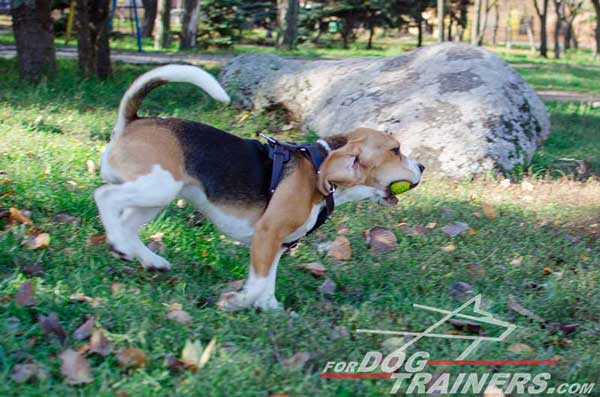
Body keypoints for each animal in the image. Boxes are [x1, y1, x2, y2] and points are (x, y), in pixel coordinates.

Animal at [96, 65, 424, 310]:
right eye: (396, 150)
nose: (422, 167)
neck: (318, 169)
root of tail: (132, 122)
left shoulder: (278, 244)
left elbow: (266, 284)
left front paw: (270, 308)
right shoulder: (268, 234)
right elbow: (256, 284)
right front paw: (237, 301)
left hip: (155, 197)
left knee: (128, 222)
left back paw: (148, 260)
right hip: (158, 187)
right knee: (104, 196)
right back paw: (121, 244)